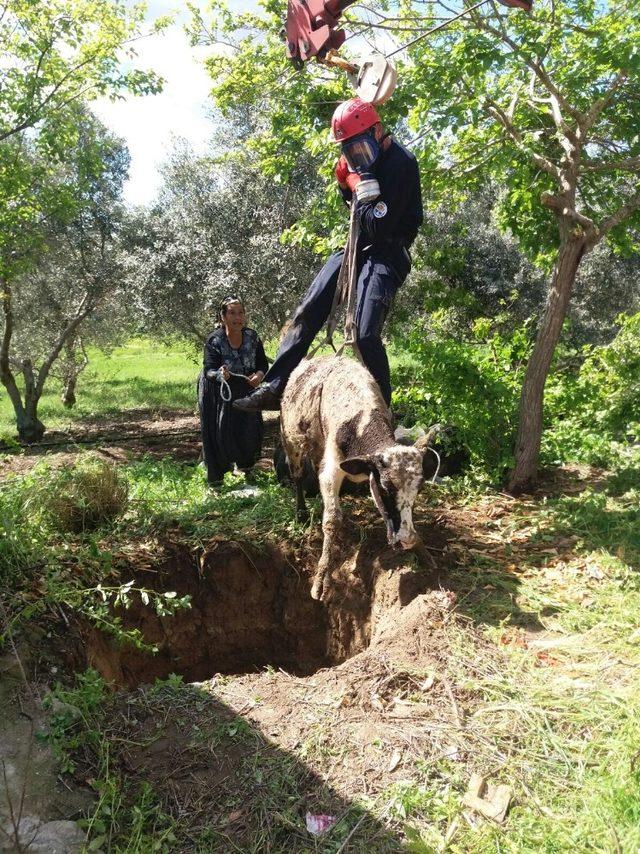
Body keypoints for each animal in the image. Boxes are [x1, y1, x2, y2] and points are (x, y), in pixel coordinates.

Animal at [282, 354, 428, 600]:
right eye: (385, 488)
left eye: (418, 490)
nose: (406, 540)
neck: (360, 419)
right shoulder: (332, 469)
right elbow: (332, 519)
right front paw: (321, 579)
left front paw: (421, 550)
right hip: (291, 442)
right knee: (298, 476)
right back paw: (300, 511)